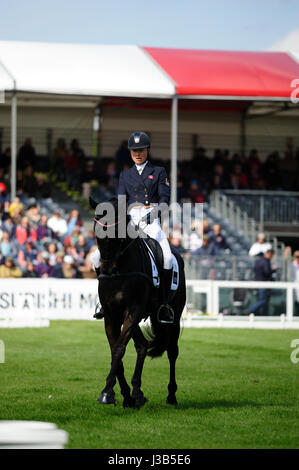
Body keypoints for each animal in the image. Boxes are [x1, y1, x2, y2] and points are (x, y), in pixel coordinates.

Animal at [90, 196, 186, 406]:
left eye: (116, 231)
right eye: (96, 230)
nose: (106, 269)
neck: (120, 271)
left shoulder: (132, 312)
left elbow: (118, 349)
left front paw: (107, 392)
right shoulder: (111, 315)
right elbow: (115, 351)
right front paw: (121, 394)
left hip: (173, 317)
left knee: (172, 351)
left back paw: (171, 396)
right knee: (142, 345)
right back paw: (136, 393)